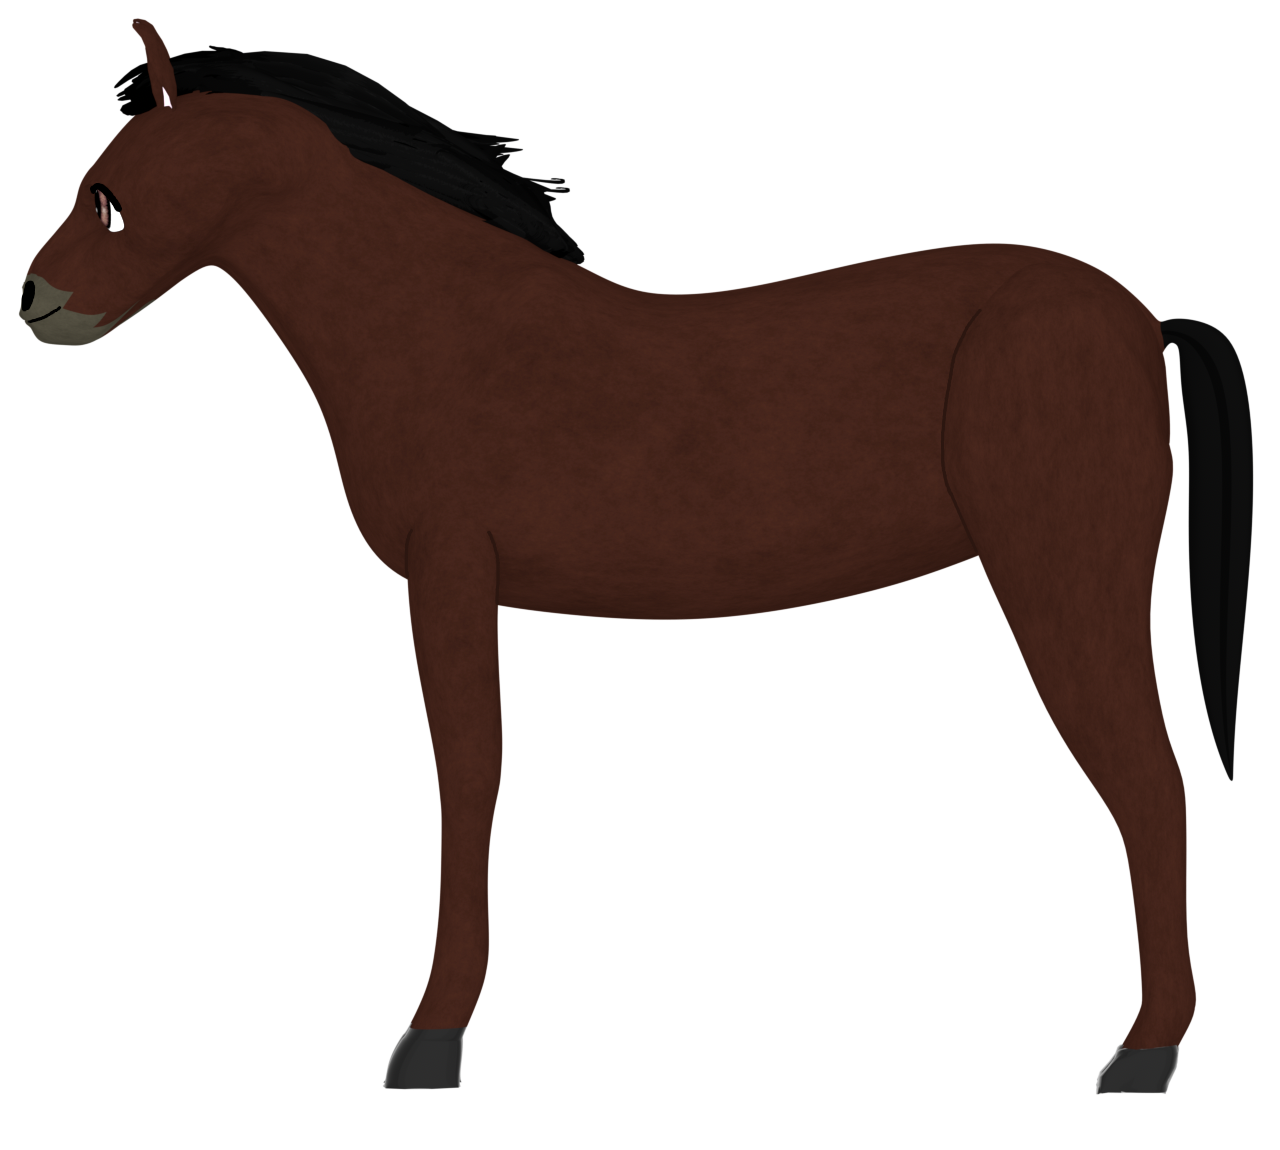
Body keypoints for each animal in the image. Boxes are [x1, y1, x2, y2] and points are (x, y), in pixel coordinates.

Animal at [20, 19, 1253, 1093]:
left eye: (106, 194)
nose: (29, 300)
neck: (434, 326)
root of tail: (1138, 319)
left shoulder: (452, 573)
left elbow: (468, 782)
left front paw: (428, 1046)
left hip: (1063, 585)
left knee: (1148, 789)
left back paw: (1140, 1057)